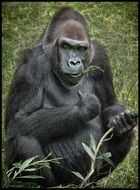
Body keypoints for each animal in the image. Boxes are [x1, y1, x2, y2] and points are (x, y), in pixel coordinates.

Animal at [4, 6, 137, 187]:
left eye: (81, 48)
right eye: (65, 46)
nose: (74, 62)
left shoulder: (100, 56)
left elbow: (110, 105)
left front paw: (118, 118)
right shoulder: (31, 65)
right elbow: (18, 121)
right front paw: (84, 109)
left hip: (91, 177)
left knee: (127, 132)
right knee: (23, 138)